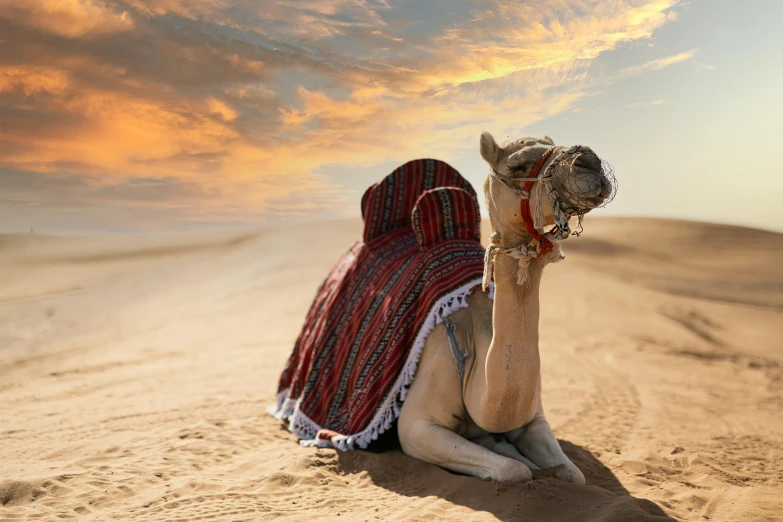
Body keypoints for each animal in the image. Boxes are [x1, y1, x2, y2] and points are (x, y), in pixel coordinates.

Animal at [398, 132, 620, 482]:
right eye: (517, 165)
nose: (589, 162)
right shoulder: (415, 427)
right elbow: (513, 471)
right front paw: (514, 460)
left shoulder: (535, 417)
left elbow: (572, 474)